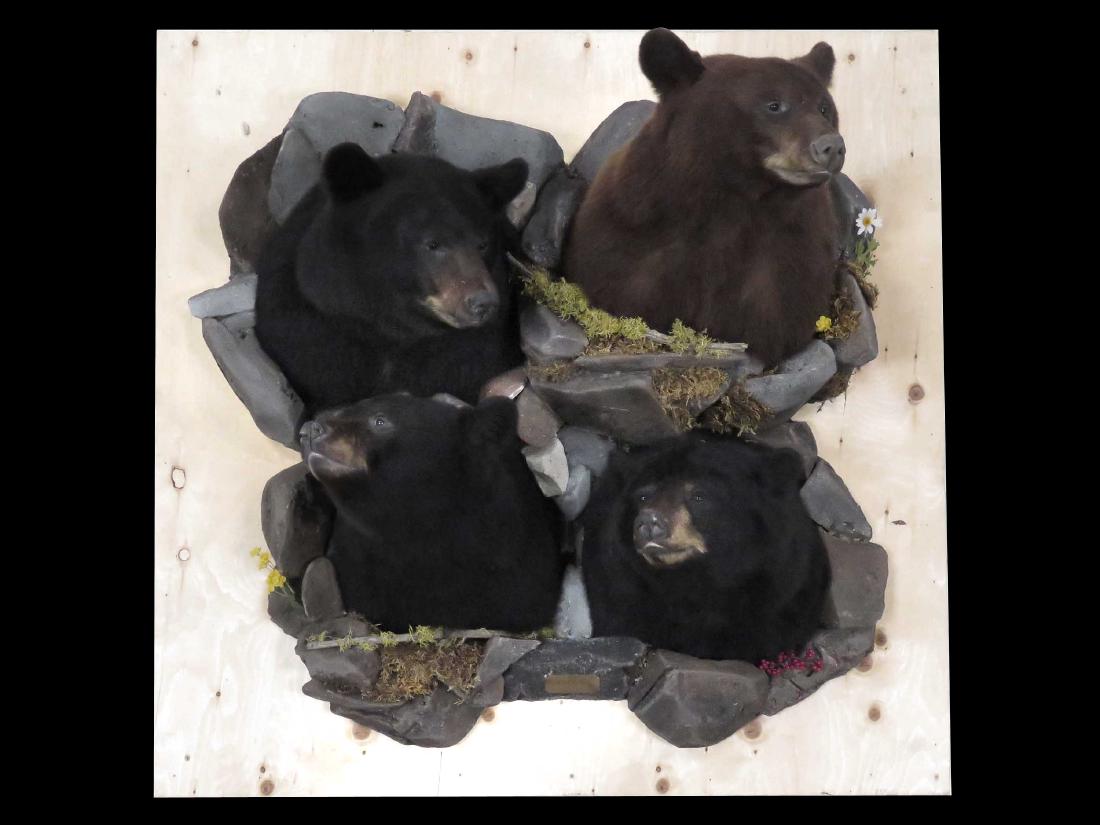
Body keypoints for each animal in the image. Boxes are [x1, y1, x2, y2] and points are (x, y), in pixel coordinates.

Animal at [256, 142, 530, 415]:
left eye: (483, 244)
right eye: (432, 243)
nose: (482, 302)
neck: (391, 333)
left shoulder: (476, 352)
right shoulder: (304, 333)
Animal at [563, 29, 846, 369]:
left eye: (824, 107)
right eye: (774, 105)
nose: (831, 146)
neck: (733, 204)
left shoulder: (790, 260)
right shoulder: (629, 238)